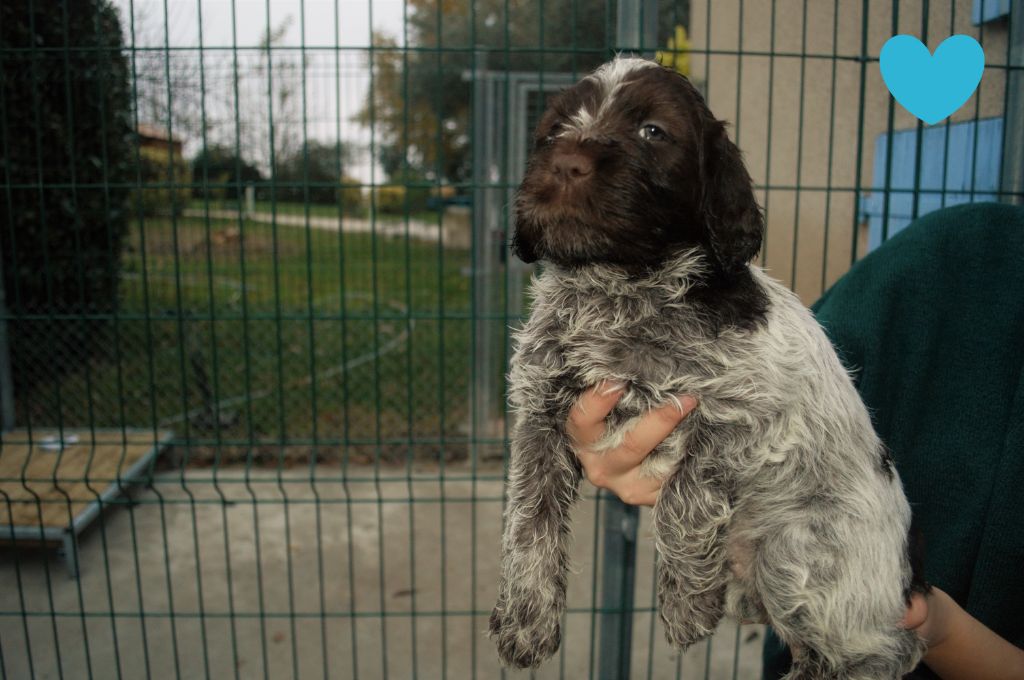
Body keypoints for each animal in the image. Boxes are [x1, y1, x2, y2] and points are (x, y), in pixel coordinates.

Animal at [487, 58, 929, 680]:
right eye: (551, 131)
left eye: (652, 131)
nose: (566, 161)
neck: (621, 290)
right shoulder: (542, 412)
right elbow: (528, 519)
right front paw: (525, 620)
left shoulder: (741, 416)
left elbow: (683, 500)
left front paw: (685, 606)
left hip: (800, 554)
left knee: (881, 652)